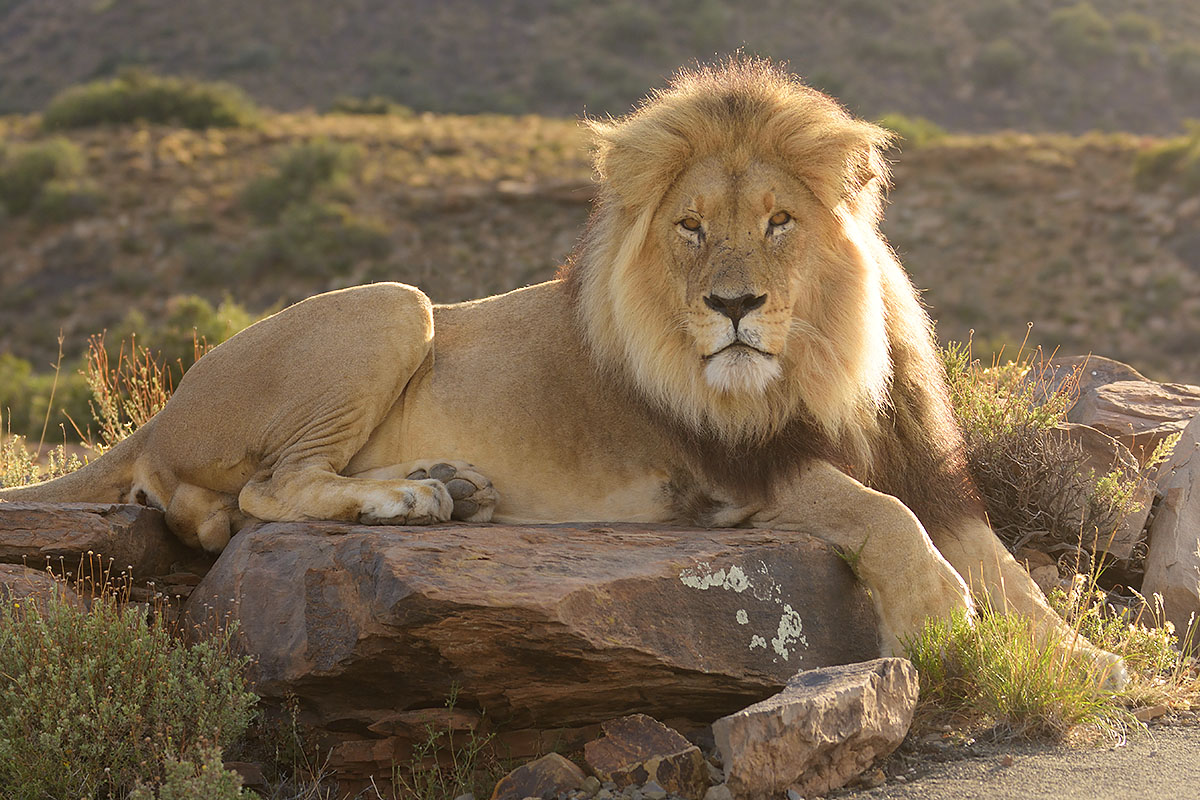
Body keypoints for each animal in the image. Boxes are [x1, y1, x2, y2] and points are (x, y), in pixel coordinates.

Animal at [0, 60, 1125, 685]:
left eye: (779, 222)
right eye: (690, 227)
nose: (734, 307)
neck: (819, 358)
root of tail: (158, 416)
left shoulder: (922, 456)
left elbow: (1004, 564)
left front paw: (1086, 659)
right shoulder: (740, 470)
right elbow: (885, 520)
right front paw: (939, 614)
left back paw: (448, 487)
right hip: (392, 304)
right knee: (254, 498)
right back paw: (410, 498)